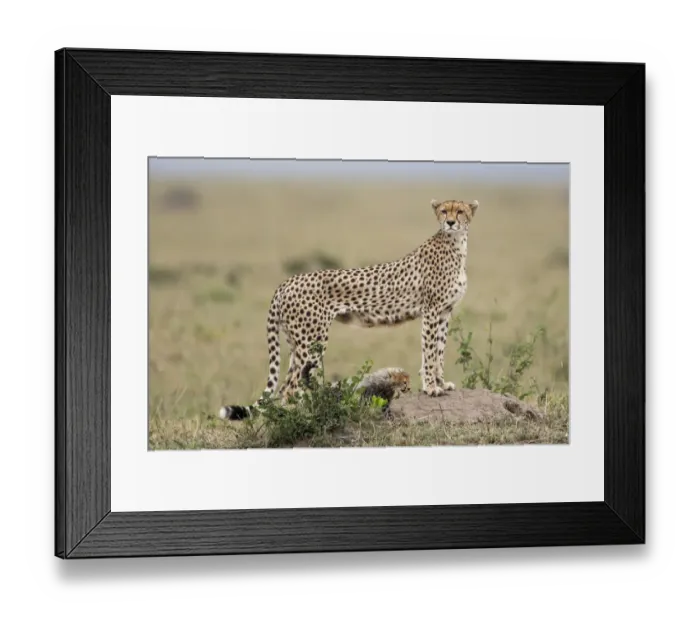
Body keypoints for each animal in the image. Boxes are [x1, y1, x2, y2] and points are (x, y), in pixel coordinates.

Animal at [219, 198, 479, 421]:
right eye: (444, 211)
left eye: (460, 211)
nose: (451, 222)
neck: (456, 244)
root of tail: (288, 281)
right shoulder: (431, 311)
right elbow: (430, 352)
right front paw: (431, 388)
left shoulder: (444, 312)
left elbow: (440, 351)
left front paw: (441, 383)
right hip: (311, 342)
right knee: (290, 388)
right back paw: (301, 418)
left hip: (296, 343)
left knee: (285, 385)